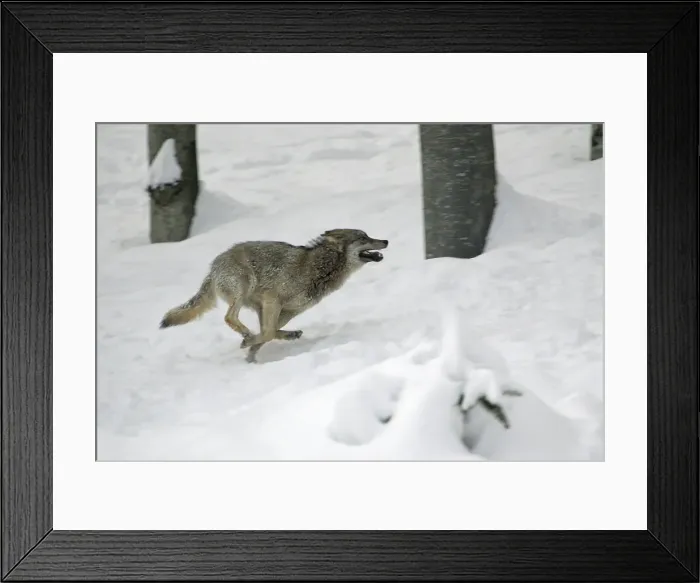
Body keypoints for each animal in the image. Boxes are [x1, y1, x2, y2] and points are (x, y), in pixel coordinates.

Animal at [159, 229, 389, 362]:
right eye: (363, 238)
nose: (385, 240)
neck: (320, 268)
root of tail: (213, 267)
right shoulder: (272, 300)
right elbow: (268, 333)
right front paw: (249, 346)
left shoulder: (285, 311)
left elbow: (269, 332)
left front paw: (251, 355)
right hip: (243, 290)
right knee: (229, 317)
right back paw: (247, 334)